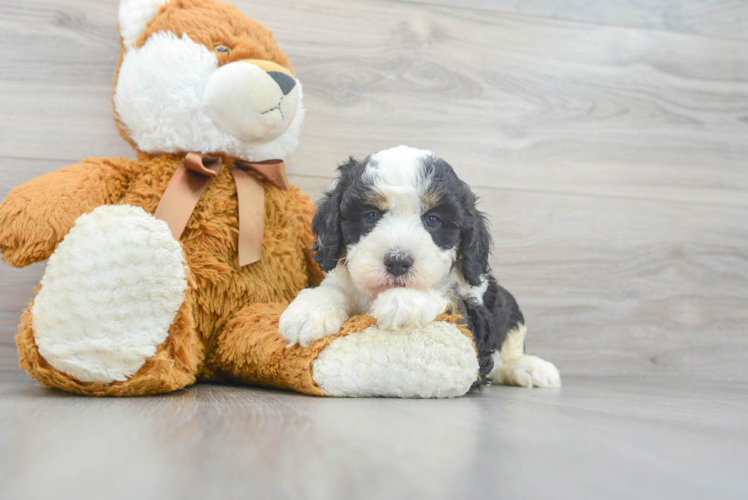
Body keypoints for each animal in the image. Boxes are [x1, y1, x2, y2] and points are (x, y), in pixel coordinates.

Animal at [280, 146, 560, 388]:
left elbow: (448, 295)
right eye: (371, 215)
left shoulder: (477, 326)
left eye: (433, 220)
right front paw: (307, 313)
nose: (397, 262)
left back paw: (532, 368)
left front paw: (404, 300)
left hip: (507, 304)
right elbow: (333, 288)